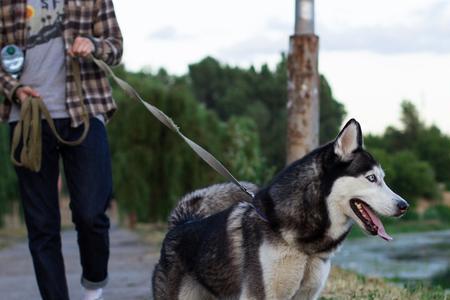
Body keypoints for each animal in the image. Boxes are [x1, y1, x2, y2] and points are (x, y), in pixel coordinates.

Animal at [152, 119, 408, 300]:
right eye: (371, 178)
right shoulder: (260, 294)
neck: (305, 246)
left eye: (383, 179)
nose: (404, 205)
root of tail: (181, 223)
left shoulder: (306, 295)